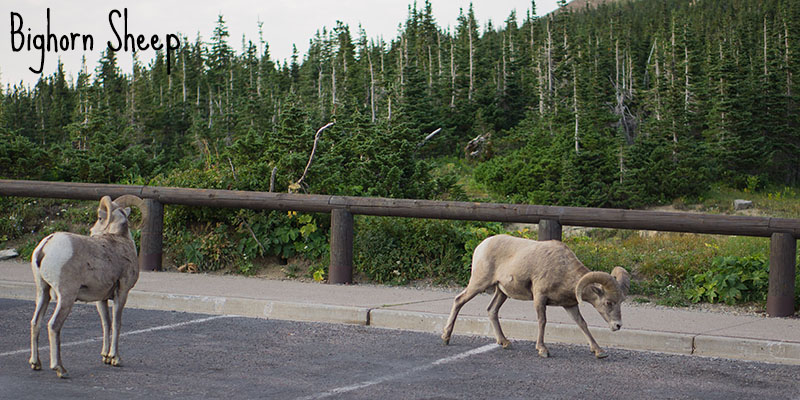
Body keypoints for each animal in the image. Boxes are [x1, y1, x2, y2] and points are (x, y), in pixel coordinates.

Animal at [28, 195, 147, 376]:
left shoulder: (101, 298)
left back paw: (36, 364)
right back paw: (60, 369)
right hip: (66, 297)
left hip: (43, 292)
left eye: (99, 218)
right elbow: (117, 323)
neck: (121, 240)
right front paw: (115, 359)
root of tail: (45, 247)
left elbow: (106, 323)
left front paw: (105, 357)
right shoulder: (122, 292)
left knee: (35, 322)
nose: (91, 231)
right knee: (53, 325)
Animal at [440, 234, 628, 360]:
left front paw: (599, 352)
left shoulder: (569, 305)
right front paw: (543, 350)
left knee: (491, 310)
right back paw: (446, 338)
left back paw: (504, 342)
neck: (563, 269)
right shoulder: (540, 298)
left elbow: (582, 324)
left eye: (621, 302)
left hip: (501, 292)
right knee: (459, 300)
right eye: (608, 302)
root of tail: (481, 246)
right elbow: (542, 321)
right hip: (479, 283)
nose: (618, 325)